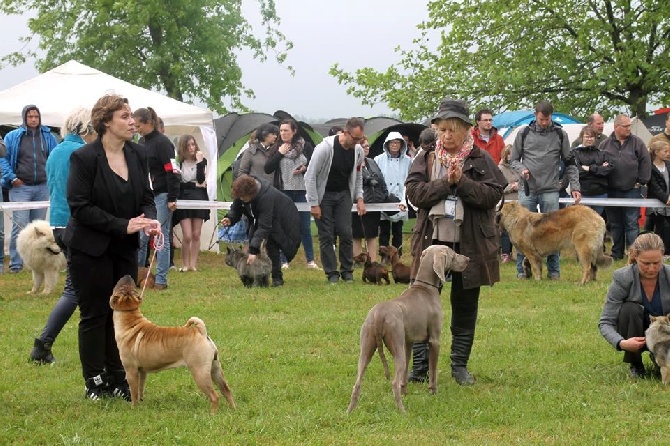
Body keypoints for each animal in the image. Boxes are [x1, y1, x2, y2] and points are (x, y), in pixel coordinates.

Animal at [109, 276, 235, 414]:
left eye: (120, 288)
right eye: (128, 288)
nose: (127, 276)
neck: (130, 319)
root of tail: (201, 332)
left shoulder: (131, 371)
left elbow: (134, 392)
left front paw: (134, 408)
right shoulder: (142, 372)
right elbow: (140, 389)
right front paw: (141, 403)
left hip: (200, 372)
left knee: (214, 396)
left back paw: (212, 414)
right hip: (215, 369)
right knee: (226, 390)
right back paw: (233, 409)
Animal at [346, 246, 472, 412]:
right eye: (453, 254)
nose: (468, 259)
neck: (425, 288)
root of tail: (379, 314)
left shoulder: (408, 342)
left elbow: (405, 372)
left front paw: (405, 391)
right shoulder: (434, 340)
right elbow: (433, 371)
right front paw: (433, 392)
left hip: (367, 347)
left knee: (357, 383)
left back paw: (349, 412)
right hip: (395, 348)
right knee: (393, 382)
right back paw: (402, 411)